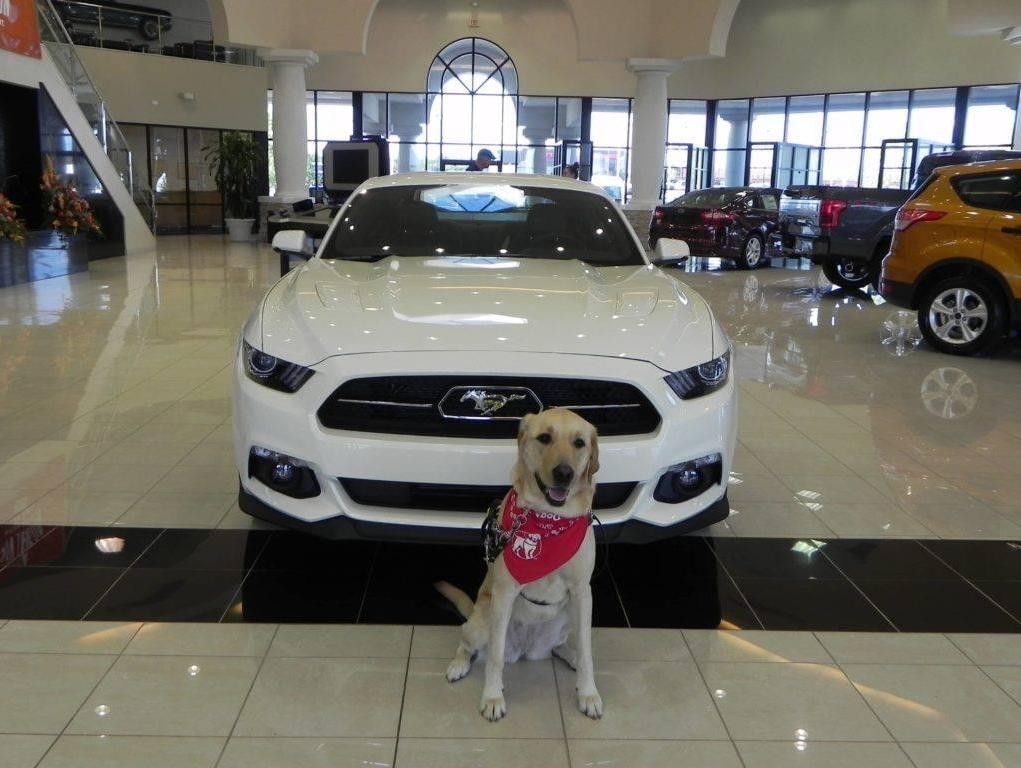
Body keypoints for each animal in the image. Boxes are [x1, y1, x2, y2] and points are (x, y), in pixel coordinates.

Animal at [434, 408, 600, 718]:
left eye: (579, 443)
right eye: (544, 438)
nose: (564, 474)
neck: (549, 520)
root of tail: (527, 649)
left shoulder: (583, 592)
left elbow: (587, 651)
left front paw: (588, 692)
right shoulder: (504, 591)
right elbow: (495, 657)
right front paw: (492, 697)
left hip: (567, 616)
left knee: (562, 646)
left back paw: (569, 655)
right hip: (484, 619)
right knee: (468, 642)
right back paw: (459, 664)